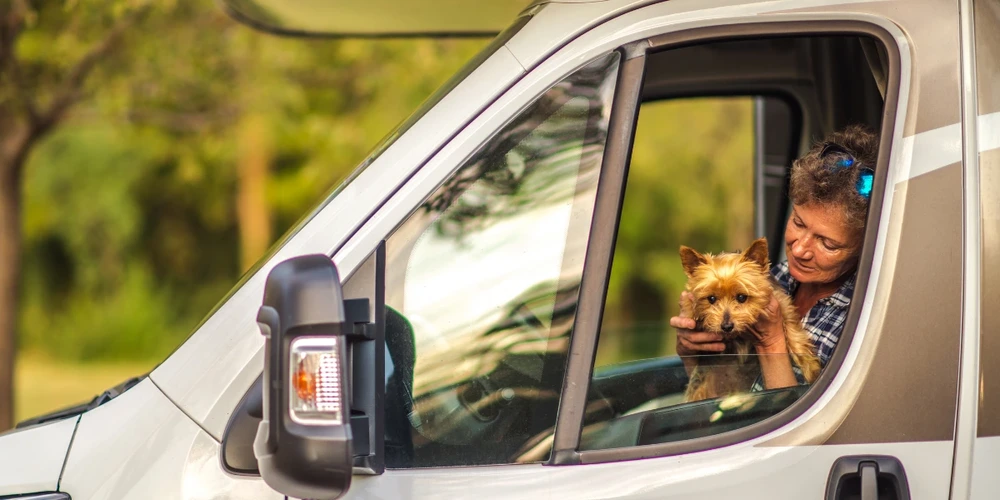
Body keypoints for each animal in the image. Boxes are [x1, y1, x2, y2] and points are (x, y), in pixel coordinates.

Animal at [680, 237, 820, 402]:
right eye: (711, 299)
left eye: (742, 297)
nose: (726, 326)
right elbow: (689, 304)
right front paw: (694, 312)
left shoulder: (781, 304)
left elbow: (794, 333)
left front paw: (812, 369)